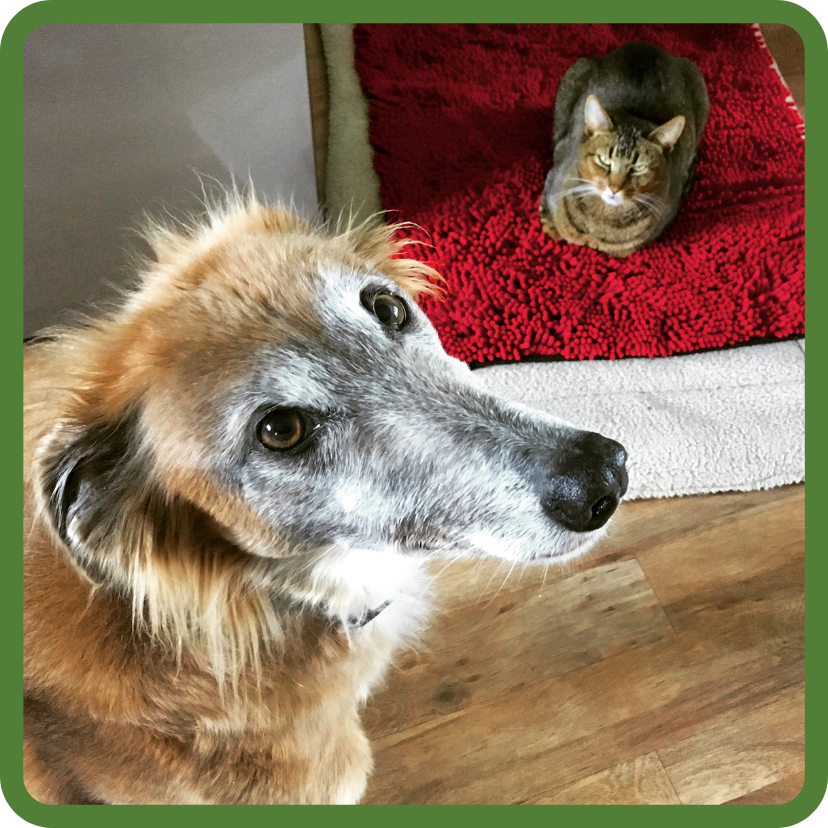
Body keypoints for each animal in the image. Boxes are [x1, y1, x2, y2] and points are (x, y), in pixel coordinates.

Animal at [540, 38, 708, 258]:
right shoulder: (556, 169)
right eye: (604, 160)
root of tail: (646, 46)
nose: (614, 188)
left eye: (639, 168)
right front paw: (551, 225)